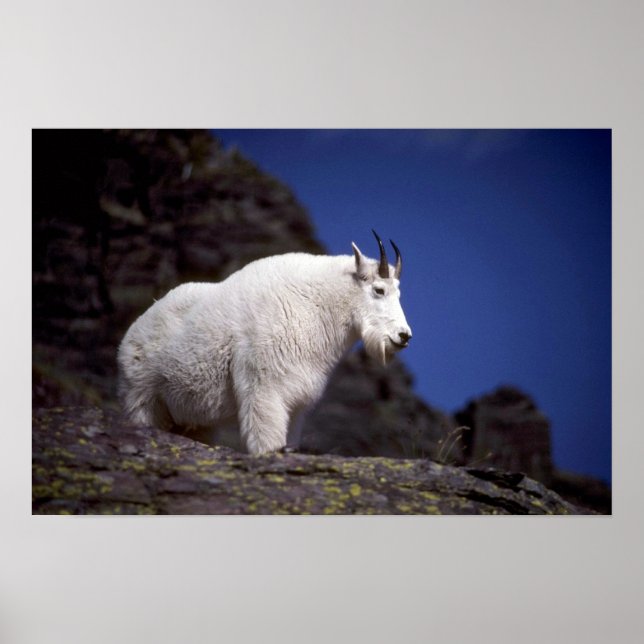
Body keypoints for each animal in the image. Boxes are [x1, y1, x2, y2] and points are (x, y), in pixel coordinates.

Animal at [117, 231, 412, 455]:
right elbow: (266, 438)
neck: (315, 306)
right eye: (379, 290)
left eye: (399, 294)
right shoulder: (264, 387)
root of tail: (131, 333)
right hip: (142, 396)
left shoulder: (297, 401)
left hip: (192, 417)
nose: (404, 336)